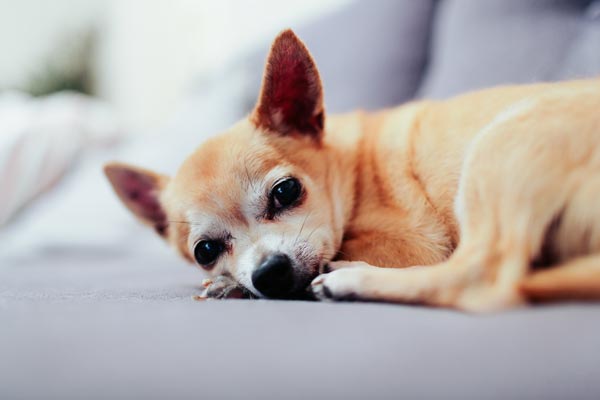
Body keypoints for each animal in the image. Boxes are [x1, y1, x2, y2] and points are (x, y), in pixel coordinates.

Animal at [104, 29, 600, 310]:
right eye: (205, 250)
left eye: (286, 192)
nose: (268, 272)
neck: (352, 169)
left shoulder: (414, 245)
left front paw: (233, 286)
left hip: (503, 143)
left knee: (480, 277)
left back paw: (350, 279)